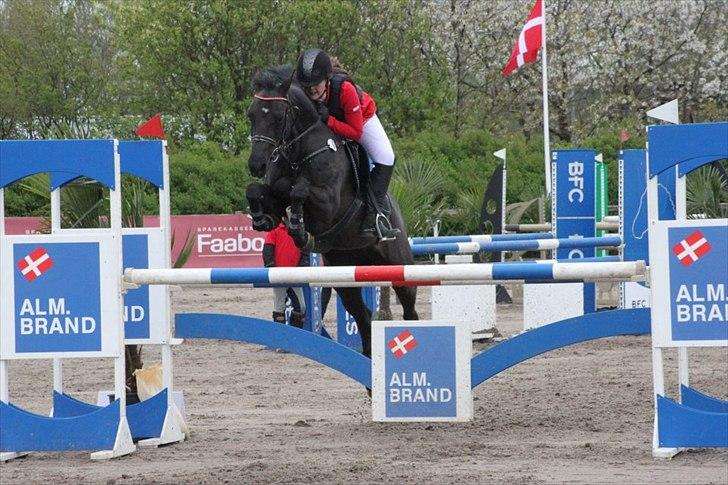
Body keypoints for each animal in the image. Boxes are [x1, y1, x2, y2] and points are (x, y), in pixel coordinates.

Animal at [245, 65, 419, 357]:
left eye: (279, 116)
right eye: (252, 115)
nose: (256, 165)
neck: (298, 151)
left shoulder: (327, 204)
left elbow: (298, 190)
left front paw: (299, 227)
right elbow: (258, 190)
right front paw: (263, 218)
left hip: (398, 264)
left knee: (409, 309)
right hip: (343, 271)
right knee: (363, 316)